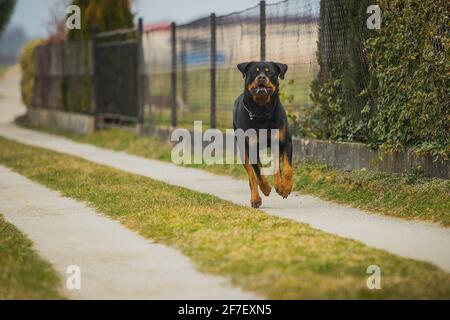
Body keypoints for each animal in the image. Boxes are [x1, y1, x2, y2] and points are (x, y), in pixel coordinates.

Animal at [234, 61, 294, 209]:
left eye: (270, 72)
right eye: (254, 72)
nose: (261, 77)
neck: (262, 111)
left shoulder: (285, 142)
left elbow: (287, 170)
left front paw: (286, 188)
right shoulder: (250, 147)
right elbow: (258, 175)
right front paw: (266, 188)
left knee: (276, 164)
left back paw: (279, 186)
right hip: (243, 150)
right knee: (251, 176)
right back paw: (256, 198)